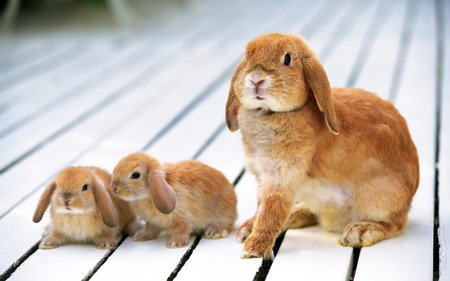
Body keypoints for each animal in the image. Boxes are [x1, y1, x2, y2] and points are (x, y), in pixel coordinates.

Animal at [227, 32, 420, 258]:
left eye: (287, 59)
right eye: (247, 55)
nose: (256, 79)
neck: (271, 113)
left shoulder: (281, 179)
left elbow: (270, 212)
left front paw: (252, 249)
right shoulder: (263, 178)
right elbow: (260, 208)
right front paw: (247, 230)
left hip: (379, 196)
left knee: (396, 223)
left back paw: (360, 231)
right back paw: (294, 216)